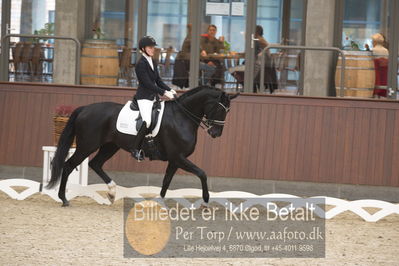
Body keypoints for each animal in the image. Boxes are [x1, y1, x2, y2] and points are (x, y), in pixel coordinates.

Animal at [48, 86, 239, 207]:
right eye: (220, 109)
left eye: (228, 111)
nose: (216, 133)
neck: (181, 117)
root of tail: (85, 108)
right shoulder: (178, 157)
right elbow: (202, 173)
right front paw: (206, 200)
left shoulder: (175, 160)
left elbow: (166, 181)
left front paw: (159, 202)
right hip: (86, 146)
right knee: (69, 165)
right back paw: (63, 199)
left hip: (110, 146)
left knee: (95, 164)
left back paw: (112, 193)